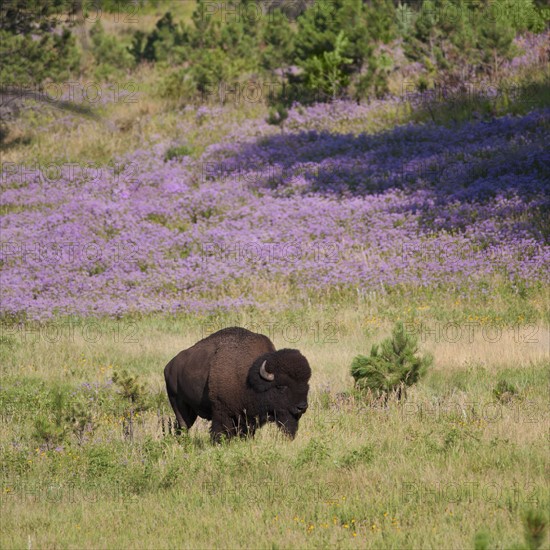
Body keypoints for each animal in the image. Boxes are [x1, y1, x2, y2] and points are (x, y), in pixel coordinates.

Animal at [164, 328, 312, 444]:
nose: (302, 407)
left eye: (306, 385)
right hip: (178, 403)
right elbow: (219, 432)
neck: (250, 377)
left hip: (191, 410)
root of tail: (169, 366)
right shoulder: (222, 412)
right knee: (183, 425)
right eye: (280, 386)